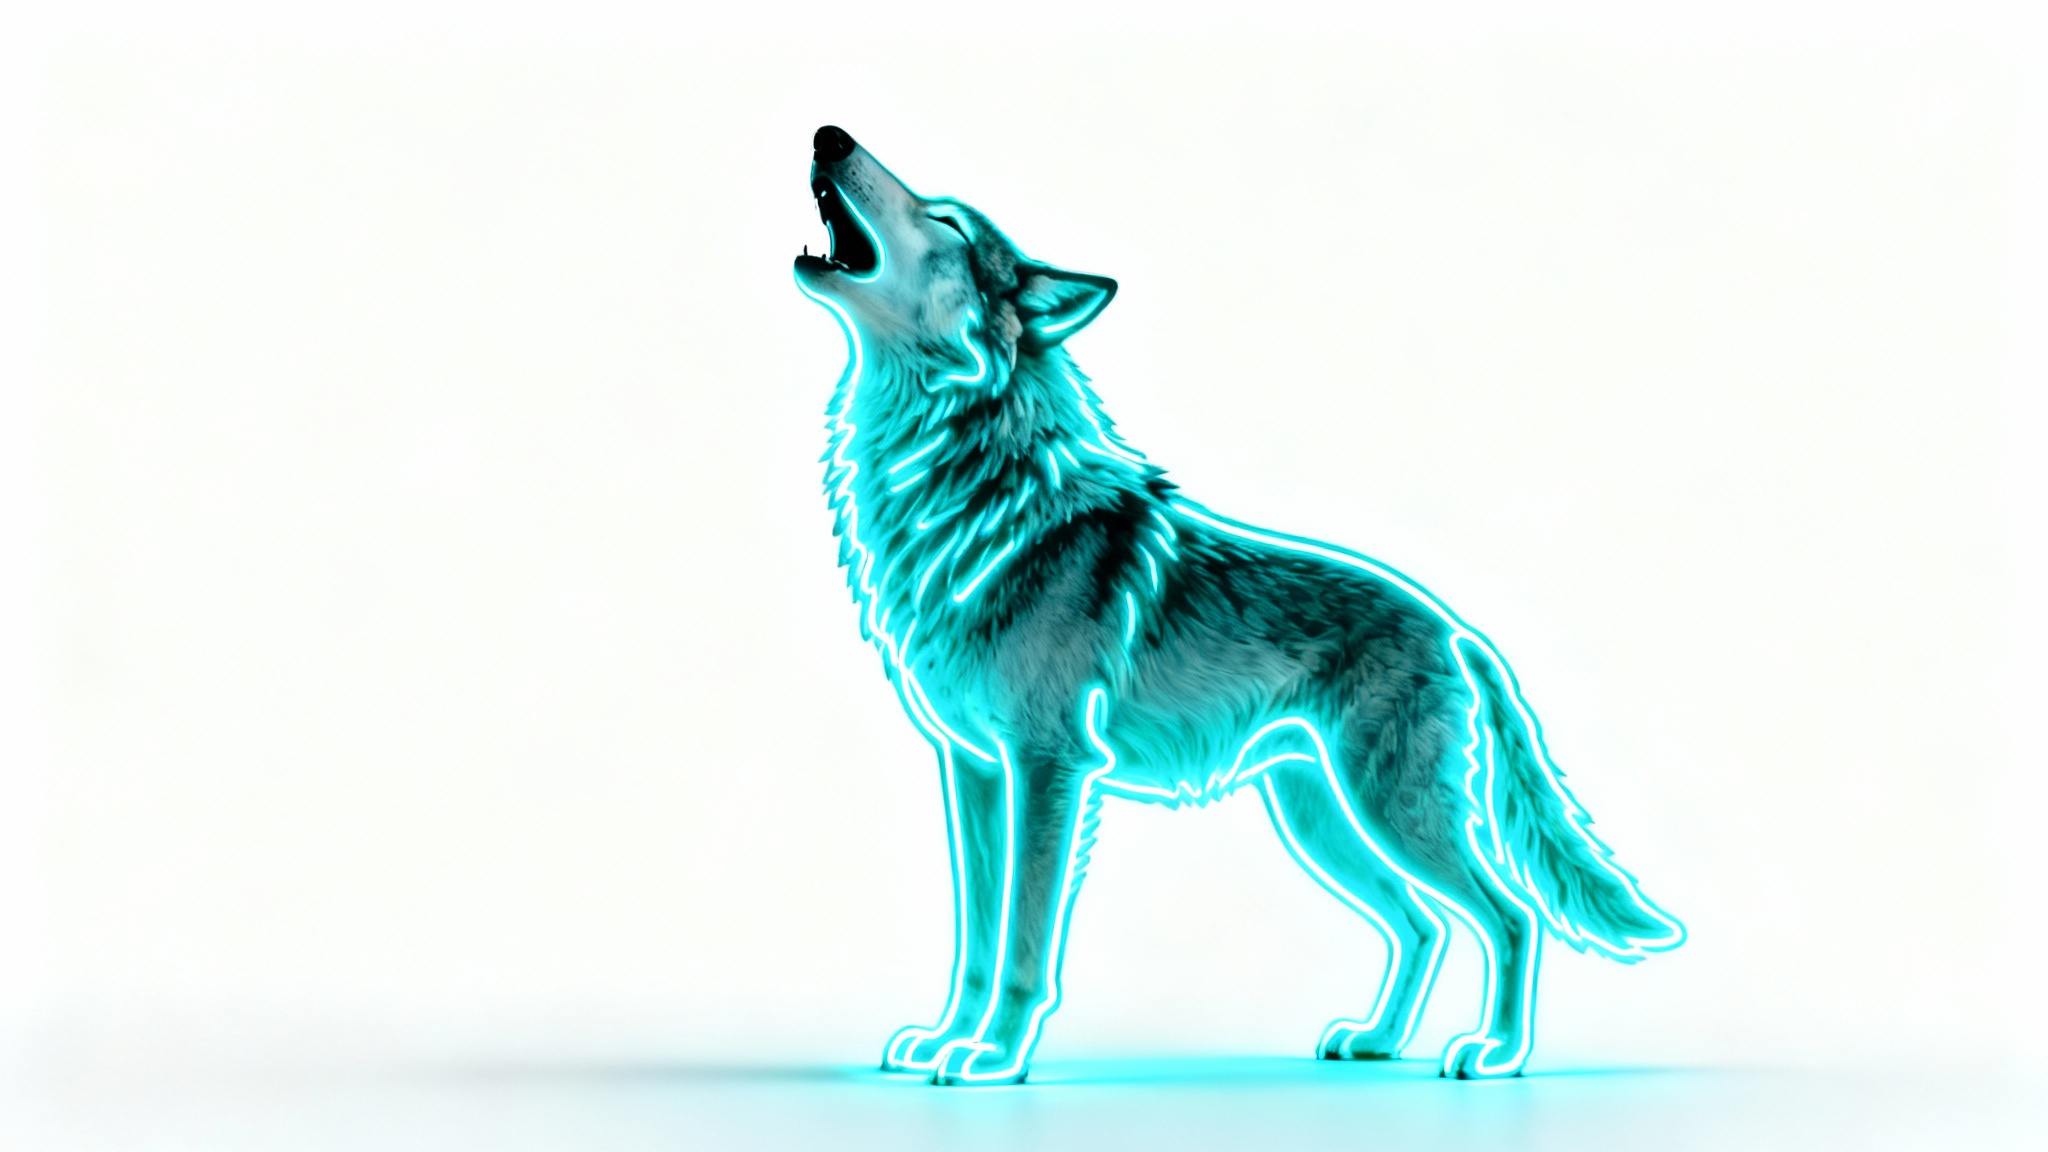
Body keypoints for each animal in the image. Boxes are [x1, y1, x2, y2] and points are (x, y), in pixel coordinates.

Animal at [793, 125, 1684, 1086]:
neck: (968, 489)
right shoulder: (975, 770)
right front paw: (947, 1041)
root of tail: (1457, 630)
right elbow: (976, 936)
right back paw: (1375, 1041)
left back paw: (1497, 1055)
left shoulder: (1048, 767)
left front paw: (994, 1056)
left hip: (1385, 811)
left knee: (1508, 914)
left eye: (946, 219)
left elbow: (1024, 942)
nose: (830, 136)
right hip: (1321, 820)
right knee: (1424, 922)